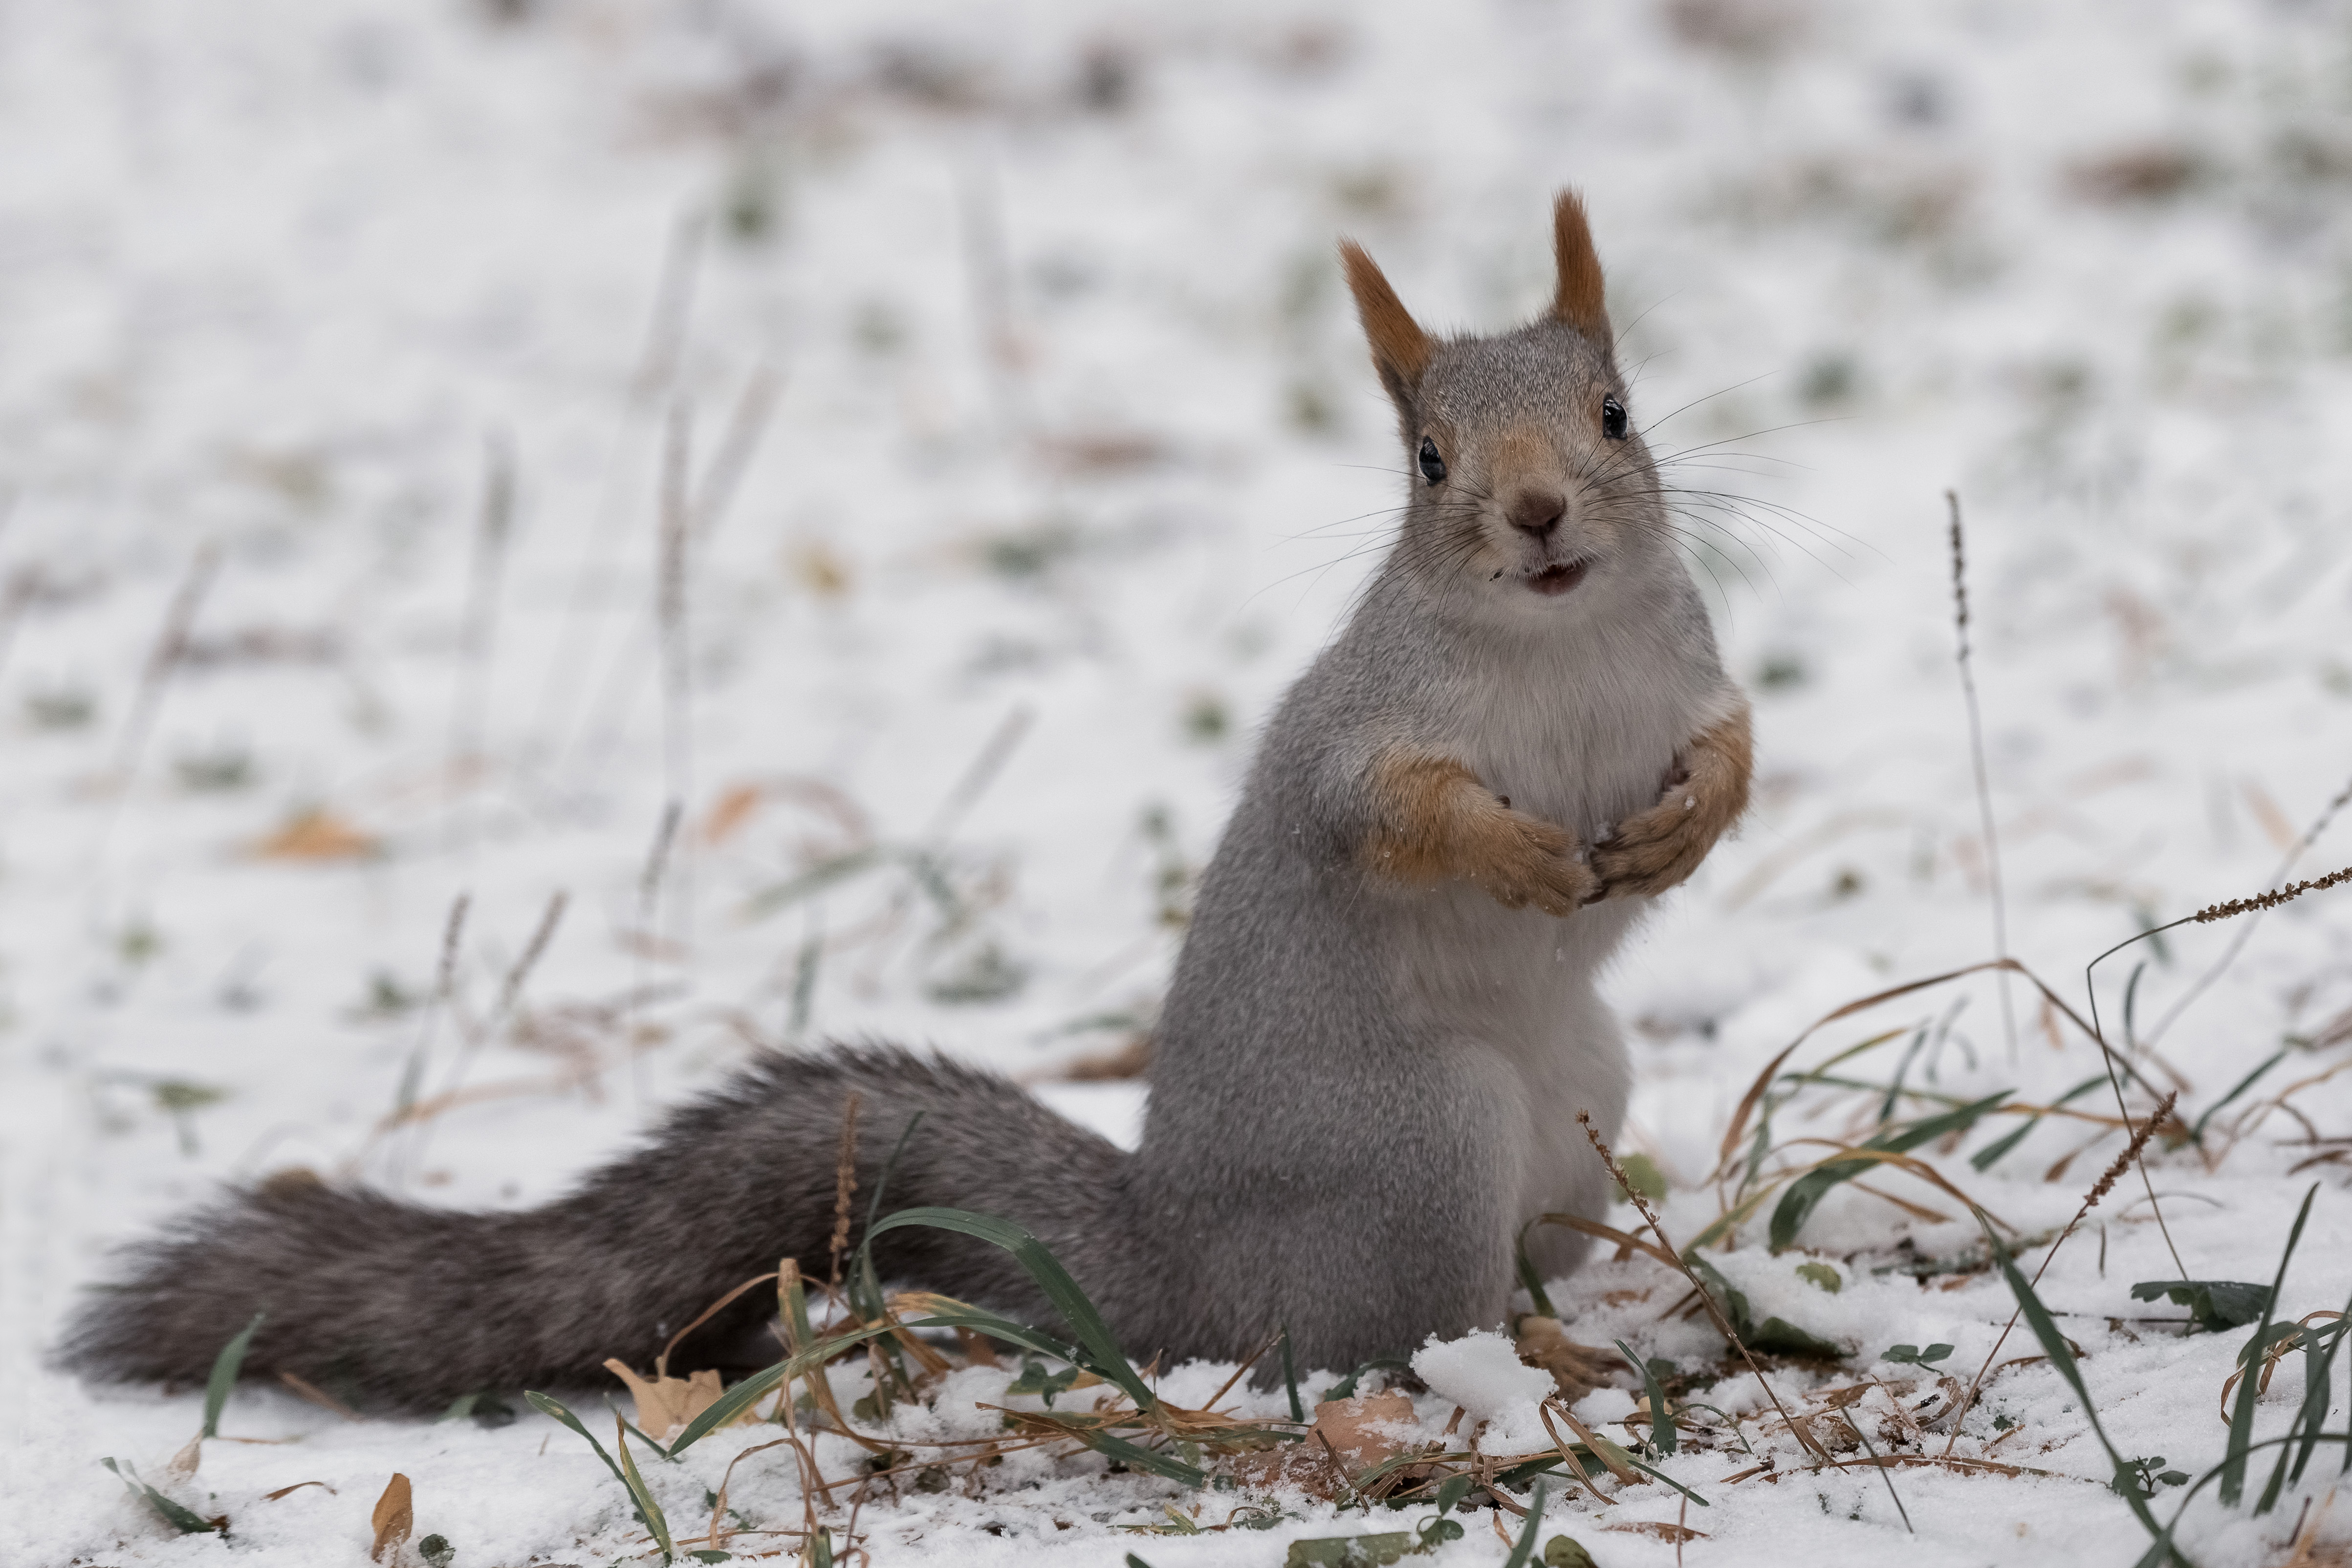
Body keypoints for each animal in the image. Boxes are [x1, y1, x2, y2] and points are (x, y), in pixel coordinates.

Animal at [60, 193, 1750, 1410]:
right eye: (1426, 461)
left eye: (1613, 411)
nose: (1535, 513)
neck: (1555, 641)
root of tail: (1178, 1265)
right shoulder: (1356, 738)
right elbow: (1390, 815)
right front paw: (1509, 850)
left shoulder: (1681, 675)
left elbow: (1734, 747)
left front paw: (1688, 825)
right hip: (1423, 1147)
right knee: (1380, 1343)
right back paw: (1529, 1357)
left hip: (1581, 1100)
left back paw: (1597, 1311)